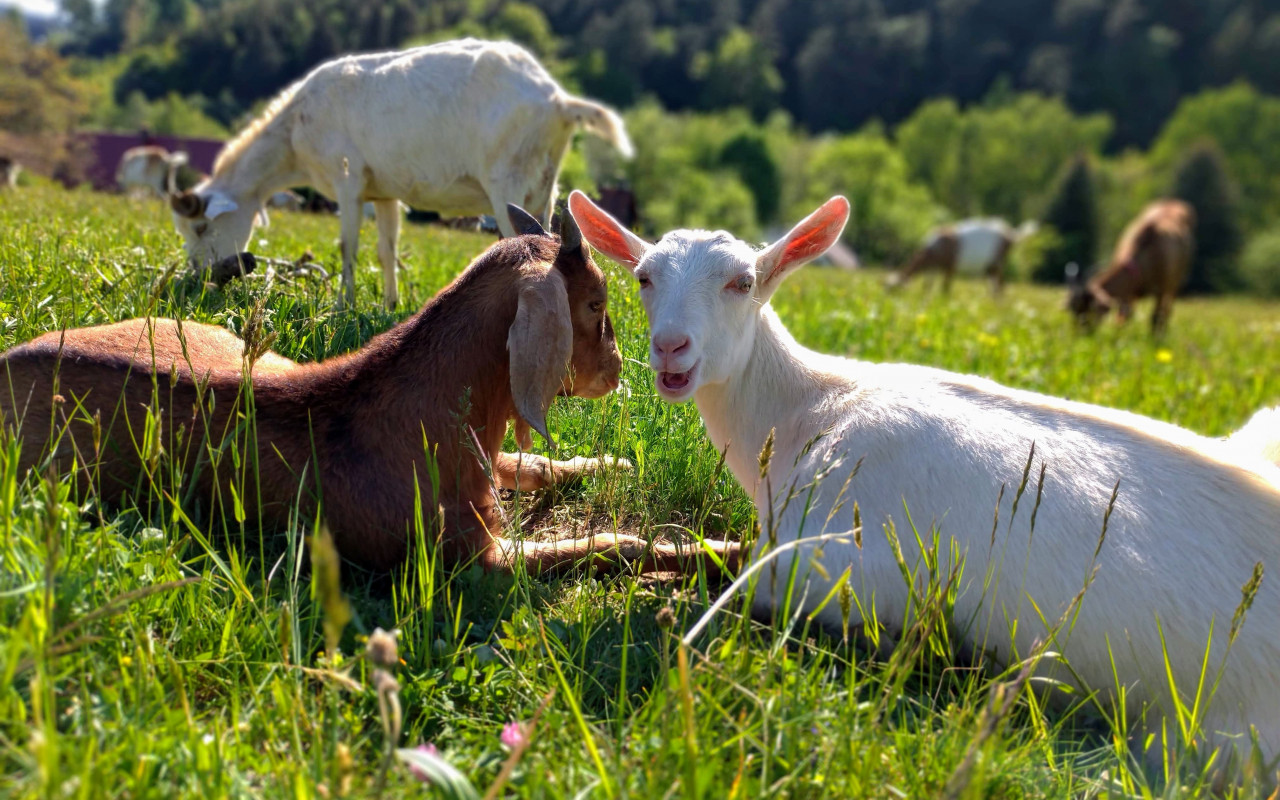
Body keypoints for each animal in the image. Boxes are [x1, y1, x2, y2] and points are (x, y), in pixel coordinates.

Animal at [0, 206, 732, 573]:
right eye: (595, 304)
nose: (616, 368)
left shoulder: (485, 462)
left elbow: (537, 464)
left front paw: (610, 464)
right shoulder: (473, 561)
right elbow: (609, 545)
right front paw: (718, 555)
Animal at [170, 39, 634, 308]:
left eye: (199, 227)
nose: (203, 277)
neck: (294, 131)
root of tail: (557, 100)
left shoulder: (348, 181)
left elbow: (348, 246)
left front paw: (342, 306)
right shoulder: (383, 192)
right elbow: (386, 249)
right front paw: (388, 306)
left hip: (508, 179)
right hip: (544, 182)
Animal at [1064, 202, 1192, 337]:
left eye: (1089, 310)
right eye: (1073, 311)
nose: (1080, 334)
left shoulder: (1161, 289)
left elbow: (1156, 316)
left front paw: (1155, 339)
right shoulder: (1128, 292)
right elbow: (1123, 316)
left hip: (1174, 283)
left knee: (1167, 310)